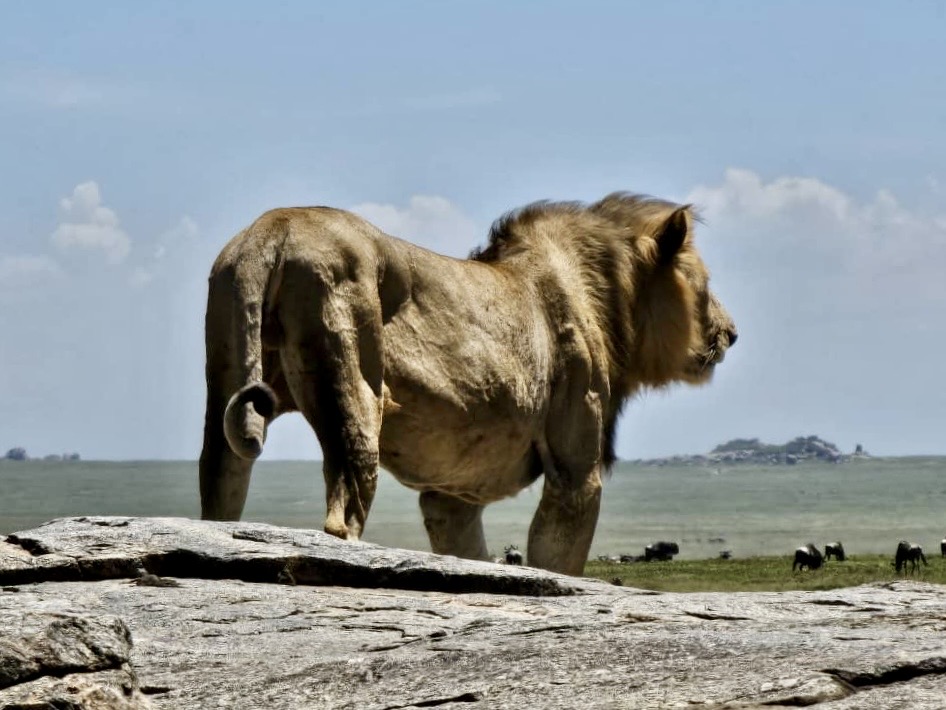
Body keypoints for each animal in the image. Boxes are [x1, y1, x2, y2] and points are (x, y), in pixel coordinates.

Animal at [199, 192, 737, 576]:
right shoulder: (575, 473)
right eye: (706, 285)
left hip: (228, 374)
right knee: (341, 515)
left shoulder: (451, 496)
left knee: (220, 490)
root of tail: (274, 229)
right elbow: (558, 562)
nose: (732, 333)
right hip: (351, 379)